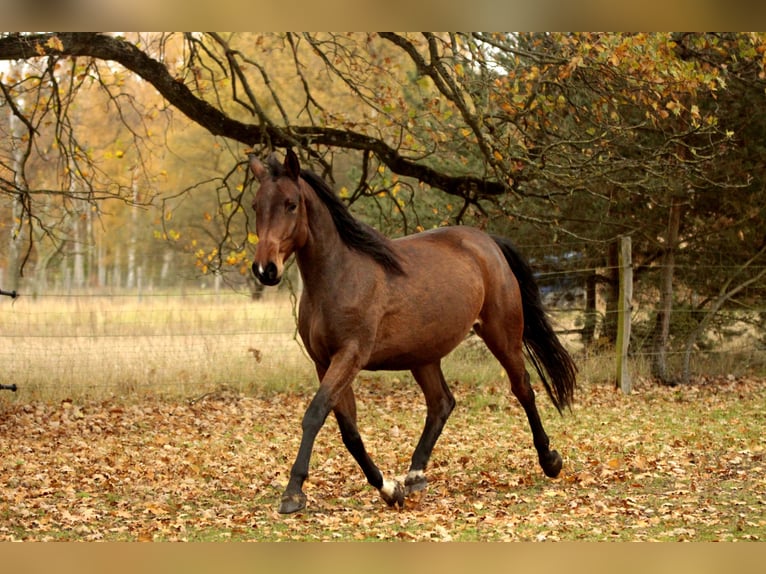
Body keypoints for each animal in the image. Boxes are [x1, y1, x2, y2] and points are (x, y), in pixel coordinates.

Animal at [249, 150, 580, 516]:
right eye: (255, 205)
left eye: (291, 204)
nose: (265, 269)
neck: (338, 276)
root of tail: (488, 243)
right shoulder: (325, 362)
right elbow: (348, 430)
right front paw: (389, 489)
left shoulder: (350, 355)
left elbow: (315, 414)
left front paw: (293, 493)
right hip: (424, 355)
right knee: (441, 404)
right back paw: (414, 476)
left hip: (502, 335)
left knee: (523, 389)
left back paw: (550, 460)